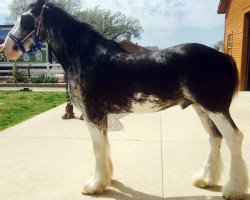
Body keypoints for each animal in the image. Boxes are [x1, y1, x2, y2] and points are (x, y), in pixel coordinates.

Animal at [0, 0, 248, 198]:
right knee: (215, 138)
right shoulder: (100, 115)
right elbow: (105, 145)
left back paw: (233, 189)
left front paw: (94, 185)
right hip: (201, 108)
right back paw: (205, 179)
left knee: (234, 138)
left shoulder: (92, 113)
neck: (86, 55)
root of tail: (223, 57)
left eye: (25, 19)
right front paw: (107, 180)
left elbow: (97, 148)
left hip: (215, 108)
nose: (7, 48)